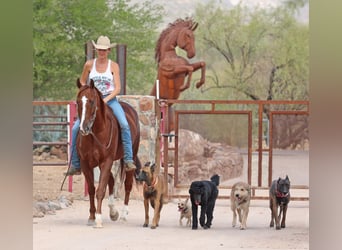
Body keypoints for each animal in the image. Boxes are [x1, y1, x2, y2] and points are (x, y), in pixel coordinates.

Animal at [76, 79, 142, 228]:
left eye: (92, 101)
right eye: (78, 102)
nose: (84, 128)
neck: (96, 133)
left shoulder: (106, 160)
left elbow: (100, 190)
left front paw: (99, 219)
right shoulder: (85, 163)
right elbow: (92, 189)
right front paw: (92, 217)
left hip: (131, 155)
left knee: (128, 185)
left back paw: (123, 215)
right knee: (111, 180)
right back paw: (113, 212)